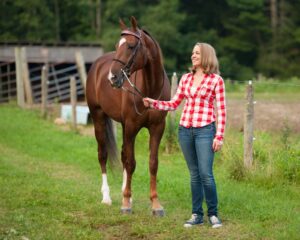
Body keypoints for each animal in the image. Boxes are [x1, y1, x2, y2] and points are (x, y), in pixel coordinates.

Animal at [86, 16, 171, 216]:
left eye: (131, 46)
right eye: (118, 45)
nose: (112, 77)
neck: (150, 88)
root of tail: (97, 65)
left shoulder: (157, 128)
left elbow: (152, 163)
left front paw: (155, 205)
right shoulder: (132, 126)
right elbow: (131, 163)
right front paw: (125, 204)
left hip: (123, 125)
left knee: (124, 154)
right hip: (98, 117)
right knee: (103, 155)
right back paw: (107, 197)